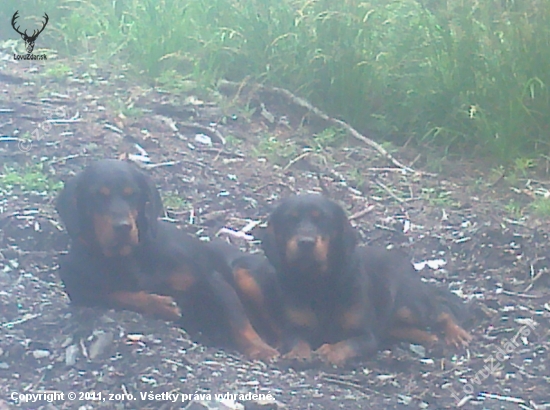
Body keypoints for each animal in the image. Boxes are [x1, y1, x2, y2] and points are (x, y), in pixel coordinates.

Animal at [56, 159, 280, 360]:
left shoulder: (211, 278)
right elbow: (120, 294)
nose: (123, 227)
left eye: (132, 194)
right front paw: (162, 305)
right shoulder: (80, 290)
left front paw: (259, 347)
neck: (129, 257)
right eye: (97, 196)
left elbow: (237, 318)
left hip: (243, 272)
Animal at [260, 194, 472, 366]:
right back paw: (429, 338)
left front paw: (330, 351)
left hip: (409, 306)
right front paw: (298, 353)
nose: (306, 242)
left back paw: (456, 334)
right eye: (290, 220)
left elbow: (347, 344)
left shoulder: (366, 336)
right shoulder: (293, 329)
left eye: (322, 219)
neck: (319, 282)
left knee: (441, 311)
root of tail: (405, 262)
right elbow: (297, 341)